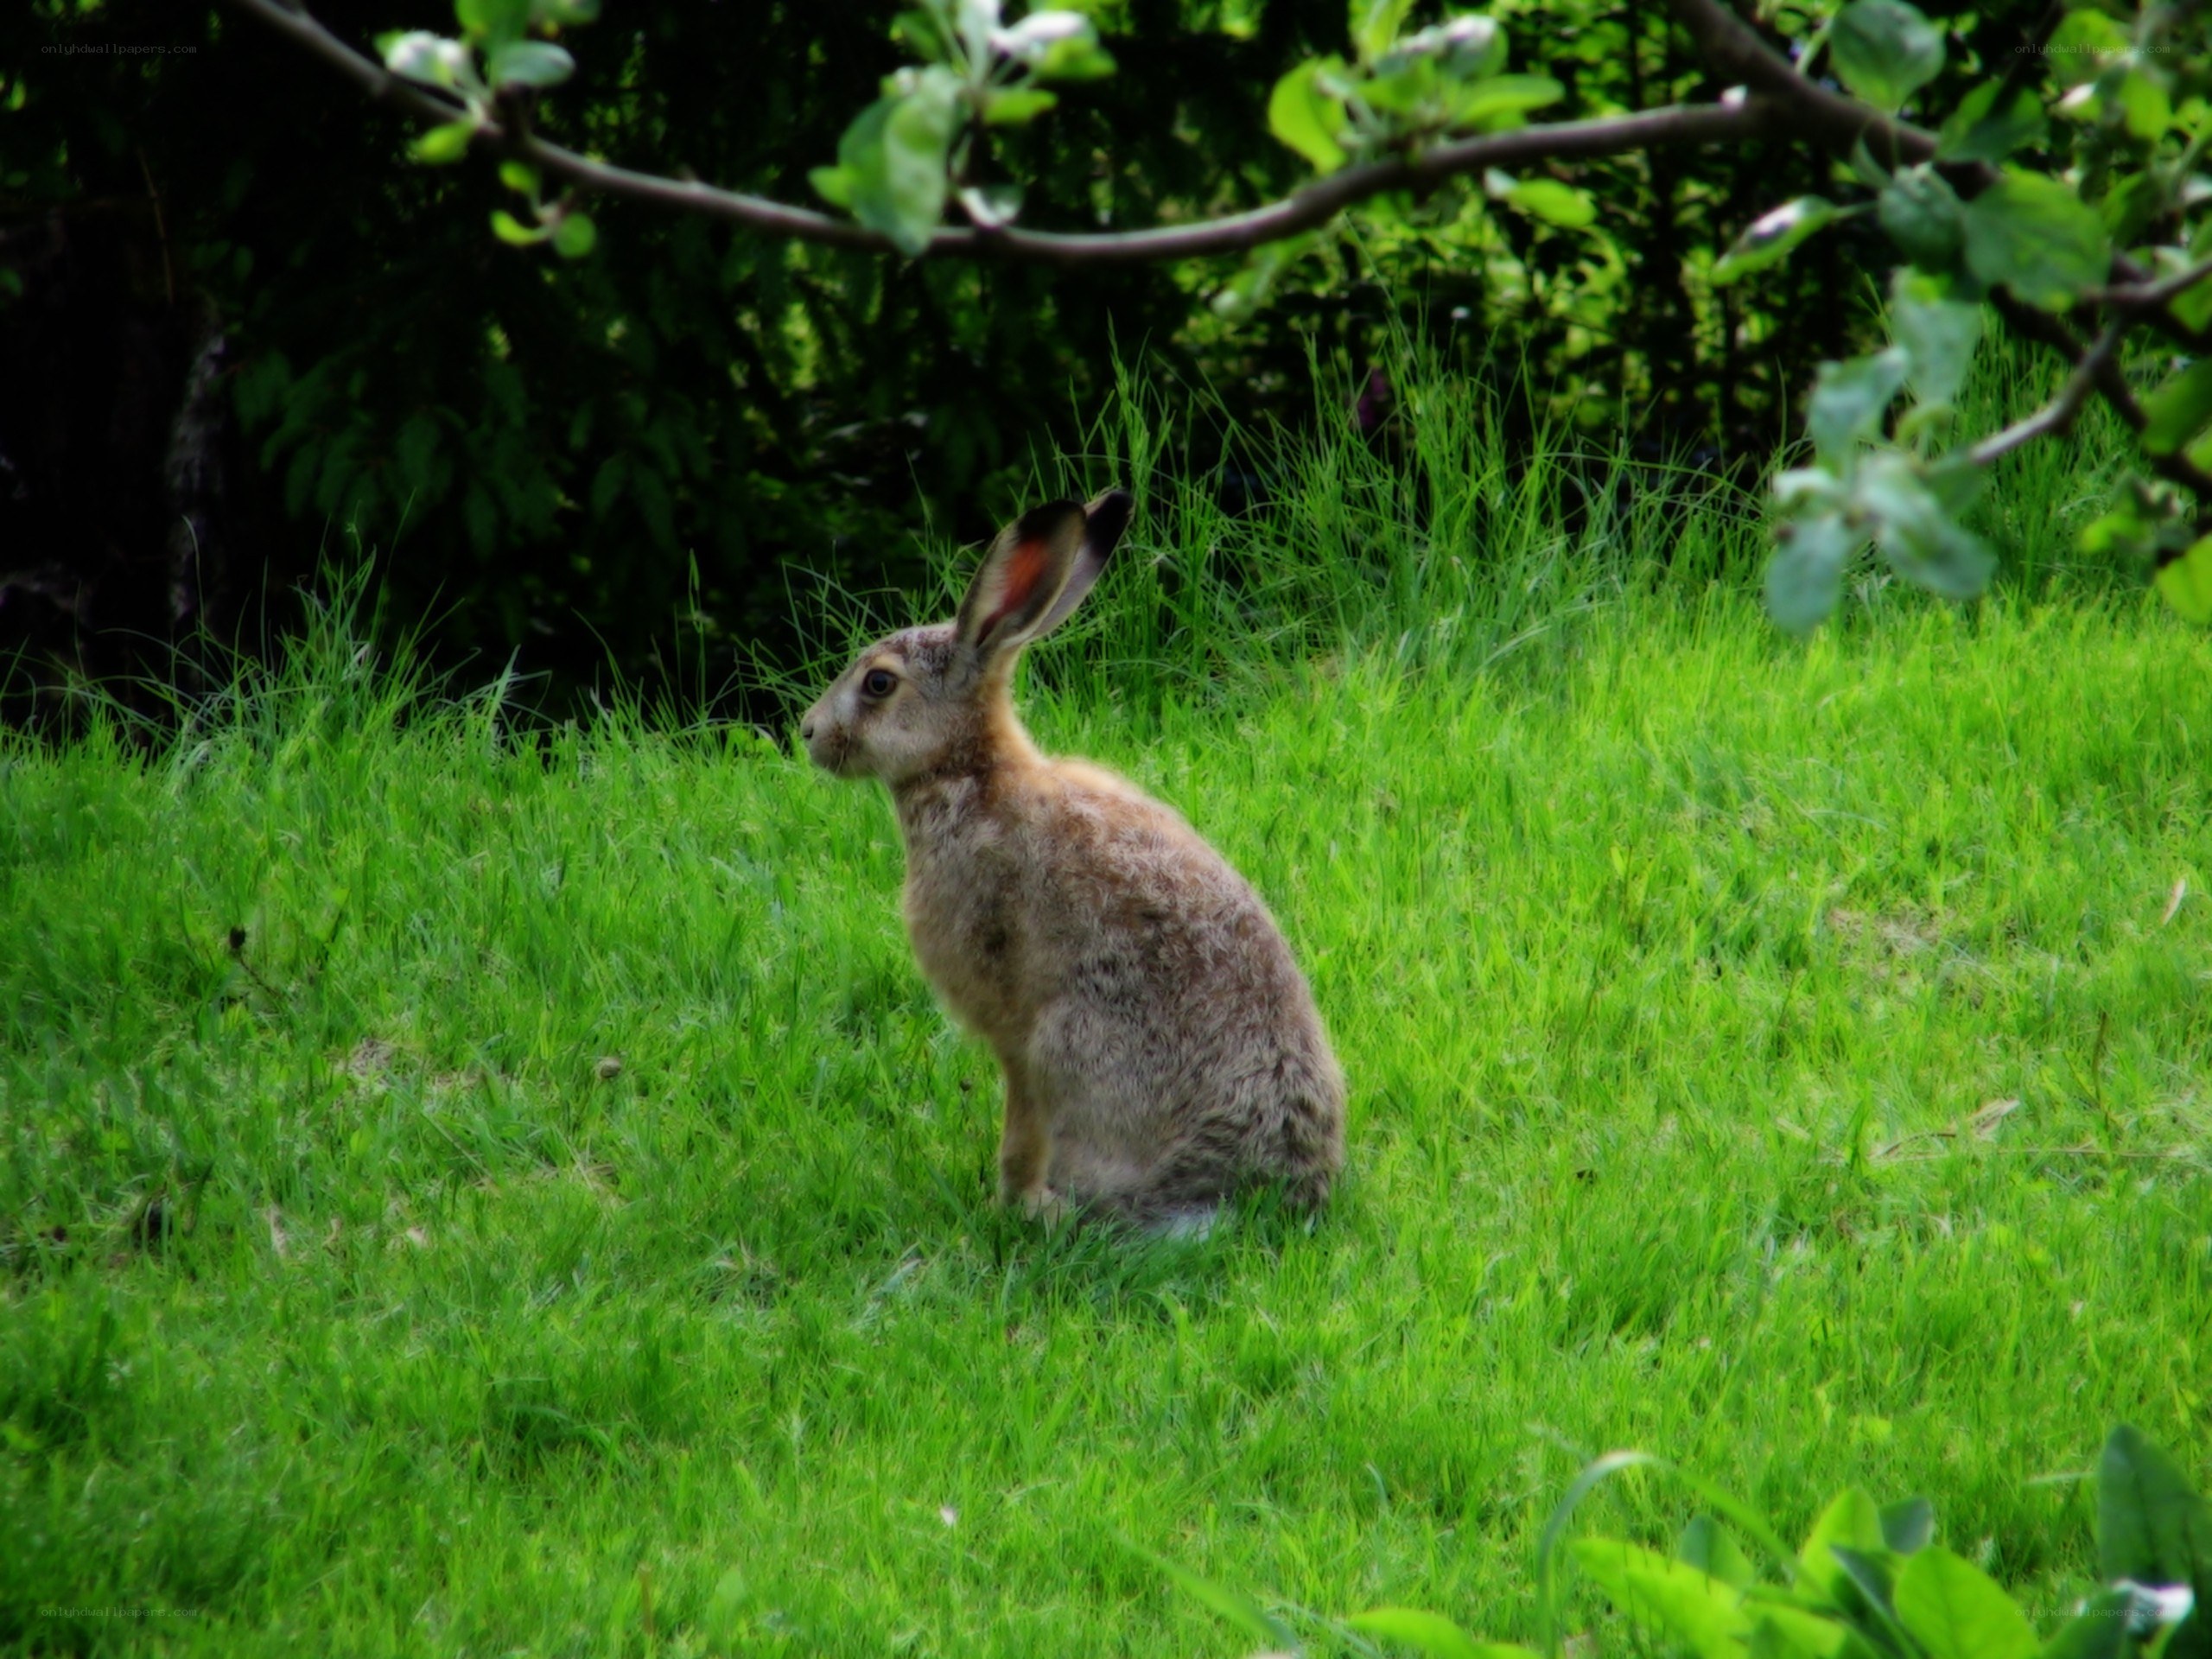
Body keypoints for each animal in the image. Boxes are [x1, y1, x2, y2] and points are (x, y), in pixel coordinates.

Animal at [799, 488, 1345, 1229]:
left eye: (879, 684)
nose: (808, 733)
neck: (971, 773)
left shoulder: (1013, 1027)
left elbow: (1020, 1120)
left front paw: (1009, 1201)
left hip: (1072, 1040)